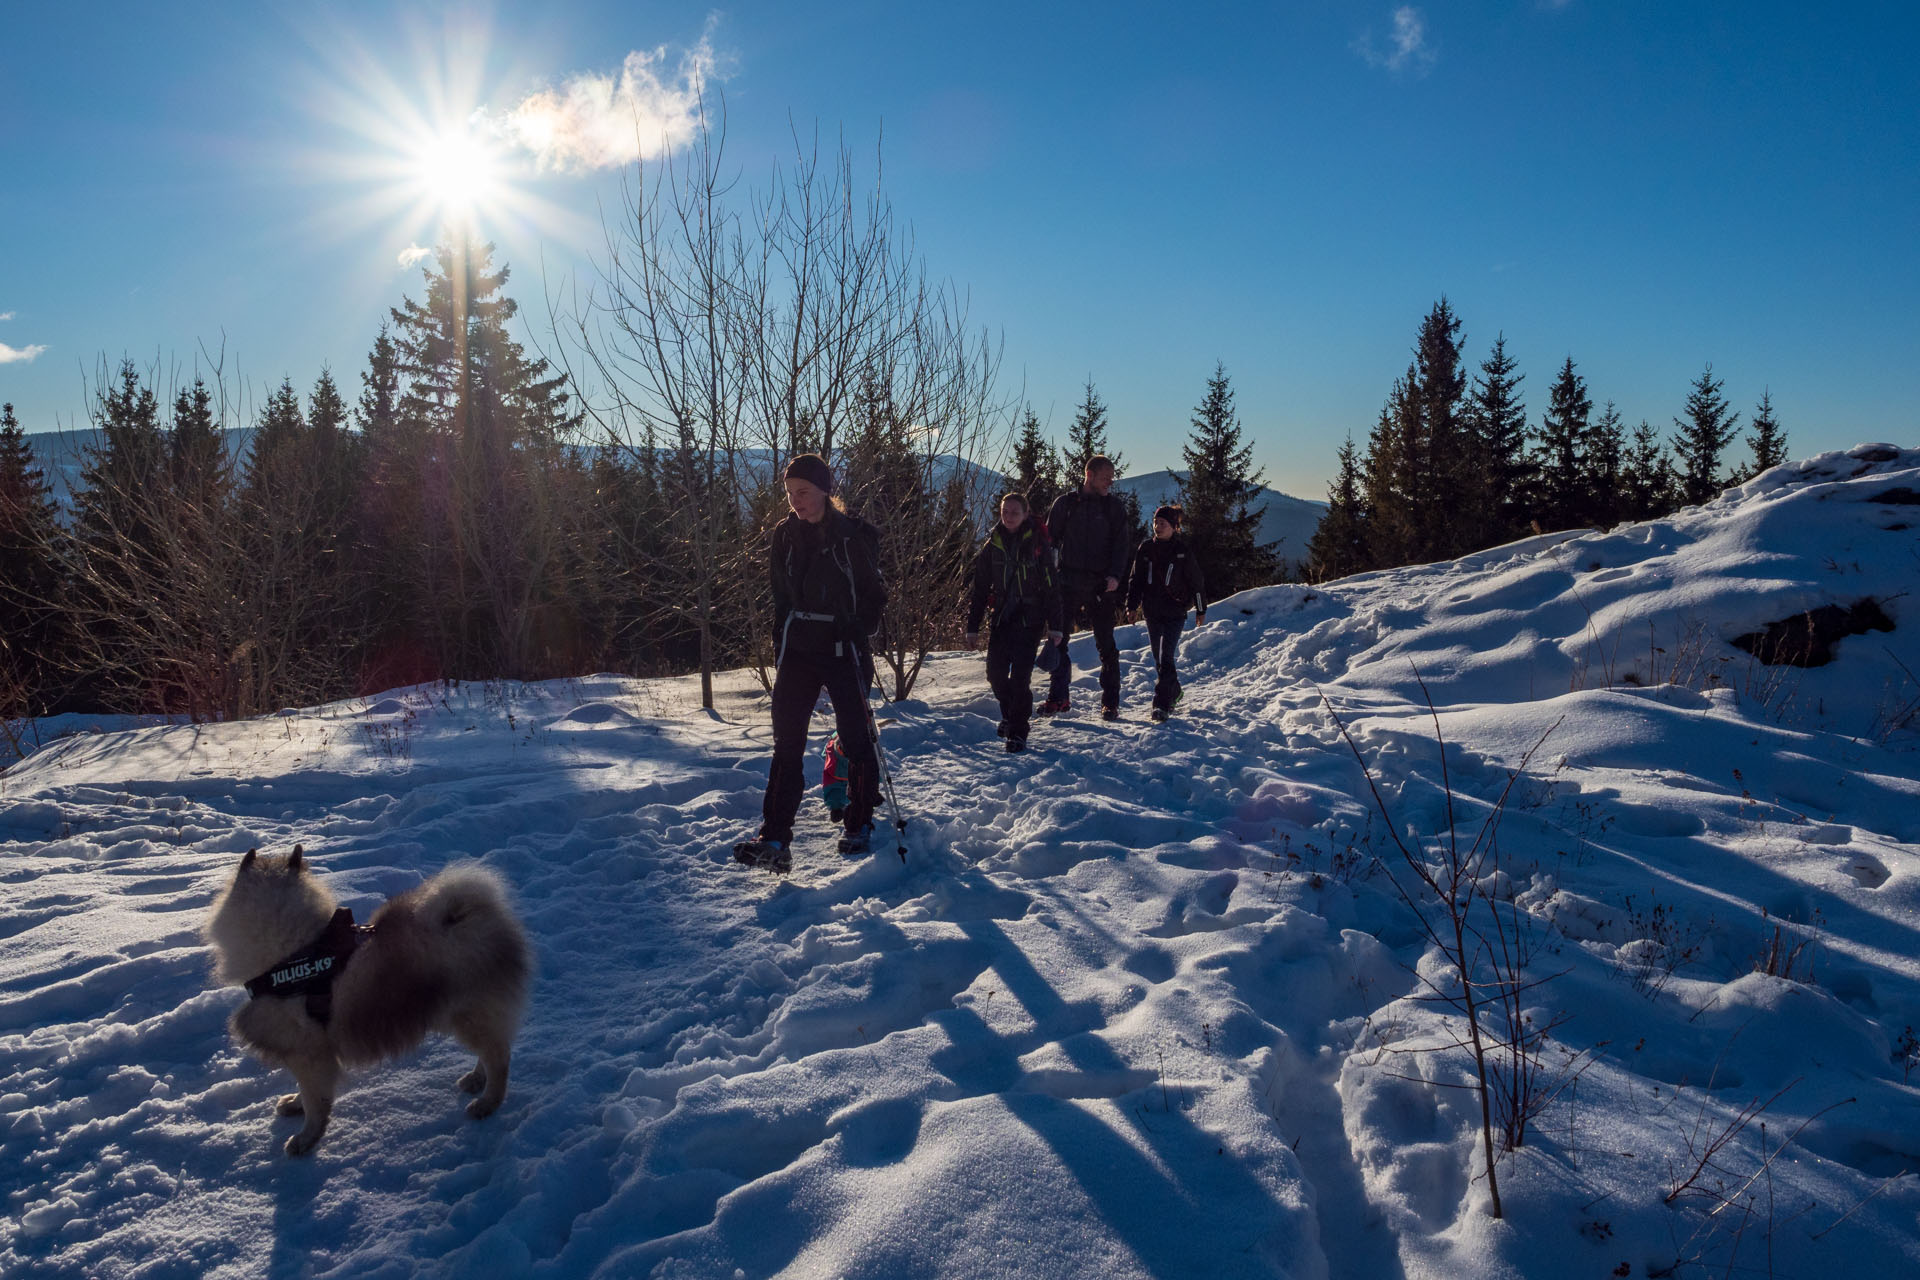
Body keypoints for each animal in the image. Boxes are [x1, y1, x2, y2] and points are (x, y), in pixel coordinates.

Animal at [201, 844, 529, 1159]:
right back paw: (475, 1080)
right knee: (491, 1051)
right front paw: (295, 1104)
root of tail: (480, 918)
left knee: (499, 1058)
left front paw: (306, 1138)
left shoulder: (310, 1054)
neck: (293, 955)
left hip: (468, 1016)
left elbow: (315, 1100)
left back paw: (487, 1102)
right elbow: (306, 1093)